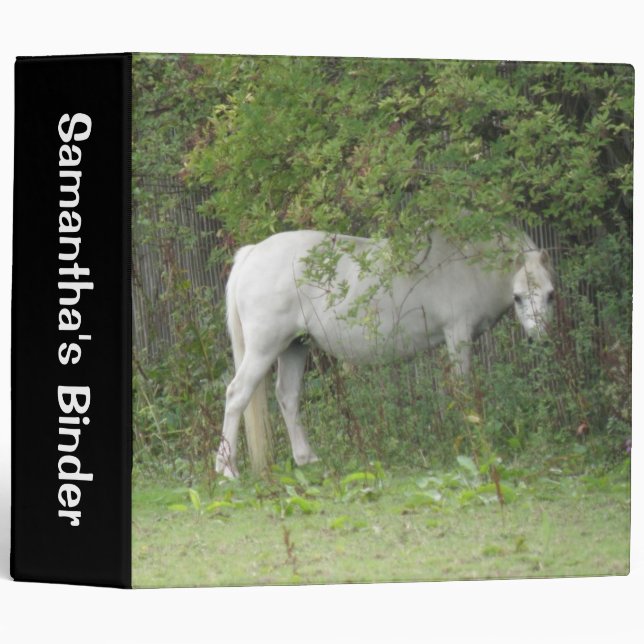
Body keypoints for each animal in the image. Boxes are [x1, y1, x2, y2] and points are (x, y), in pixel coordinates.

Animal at [215, 228, 555, 478]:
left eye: (550, 295)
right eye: (518, 297)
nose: (540, 339)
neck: (468, 263)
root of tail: (253, 252)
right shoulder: (457, 335)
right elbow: (463, 389)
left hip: (295, 347)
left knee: (288, 396)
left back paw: (306, 459)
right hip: (264, 348)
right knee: (237, 394)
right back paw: (227, 470)